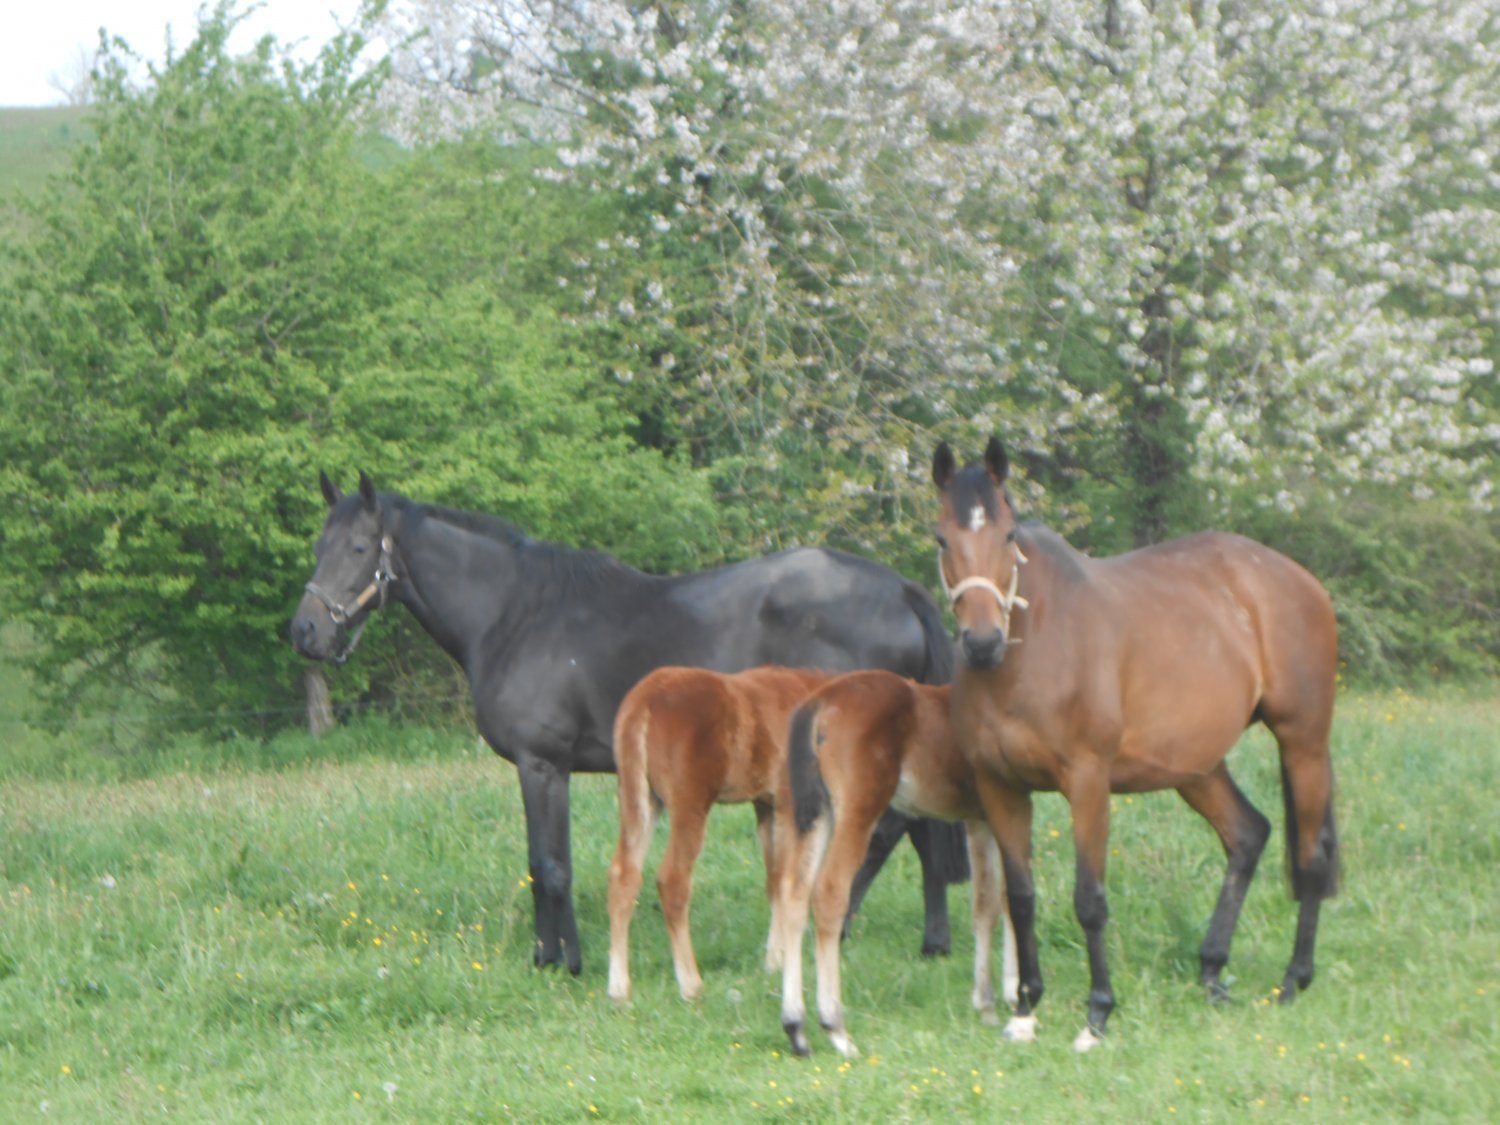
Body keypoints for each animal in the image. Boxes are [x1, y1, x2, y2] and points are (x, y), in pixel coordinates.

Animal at [605, 665, 829, 1004]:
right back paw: (690, 984)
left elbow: (775, 880)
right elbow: (791, 881)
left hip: (639, 798)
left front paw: (774, 960)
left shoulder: (766, 805)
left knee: (624, 876)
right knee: (673, 880)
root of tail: (643, 702)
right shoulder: (790, 803)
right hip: (690, 802)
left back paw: (618, 988)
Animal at [776, 669, 1018, 1059]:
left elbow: (988, 904)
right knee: (829, 892)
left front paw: (990, 1004)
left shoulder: (979, 820)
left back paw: (796, 1028)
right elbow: (1014, 898)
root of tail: (820, 702)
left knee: (793, 894)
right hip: (858, 809)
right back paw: (835, 1027)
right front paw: (1016, 995)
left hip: (816, 815)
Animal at [932, 437, 1340, 1051]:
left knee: (1310, 859)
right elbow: (1021, 898)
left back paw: (1294, 980)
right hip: (1196, 767)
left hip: (1303, 743)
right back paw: (1212, 971)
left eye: (1006, 535)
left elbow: (1090, 900)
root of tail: (1299, 580)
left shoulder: (1087, 782)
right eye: (941, 539)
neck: (1036, 648)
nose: (982, 642)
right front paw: (1025, 1009)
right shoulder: (1000, 787)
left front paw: (1097, 1014)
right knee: (1248, 834)